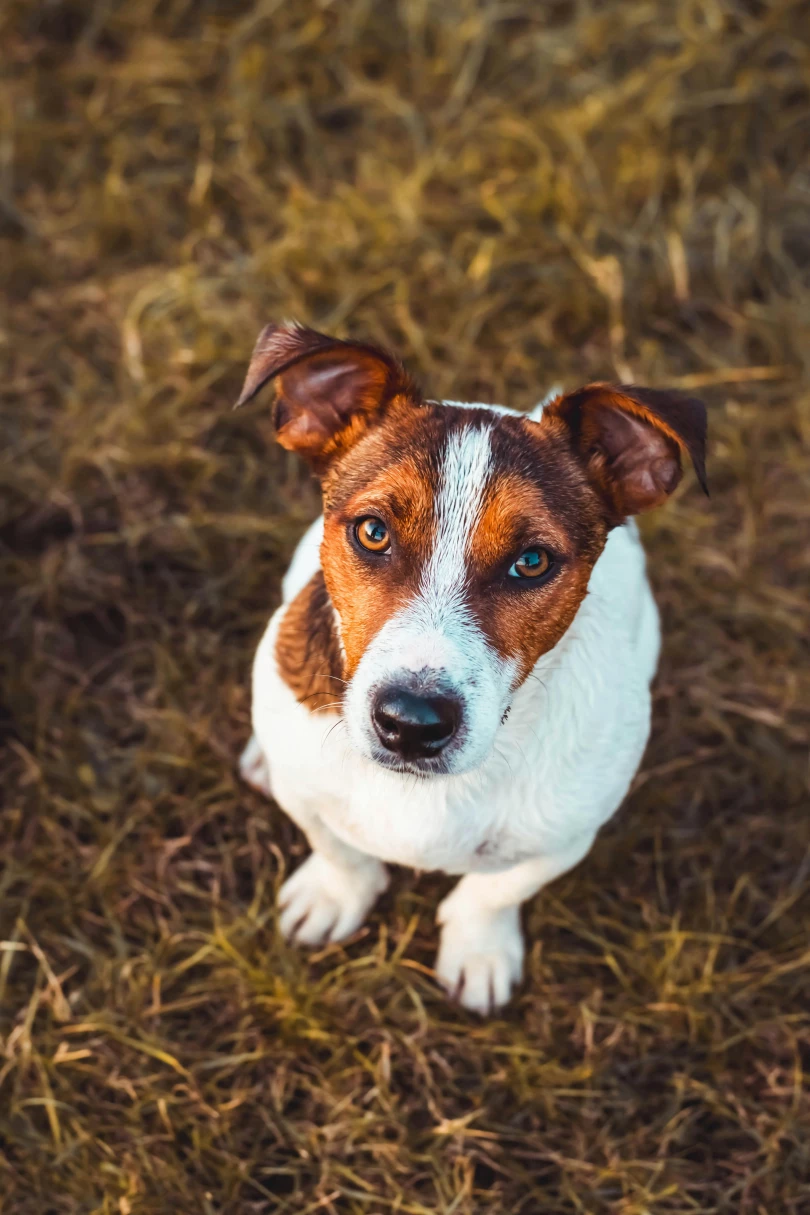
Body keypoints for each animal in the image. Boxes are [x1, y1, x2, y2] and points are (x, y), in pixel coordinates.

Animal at [233, 323, 704, 1015]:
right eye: (372, 531)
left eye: (532, 562)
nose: (411, 724)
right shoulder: (307, 793)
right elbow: (338, 848)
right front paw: (332, 896)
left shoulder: (565, 836)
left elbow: (494, 891)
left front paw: (479, 950)